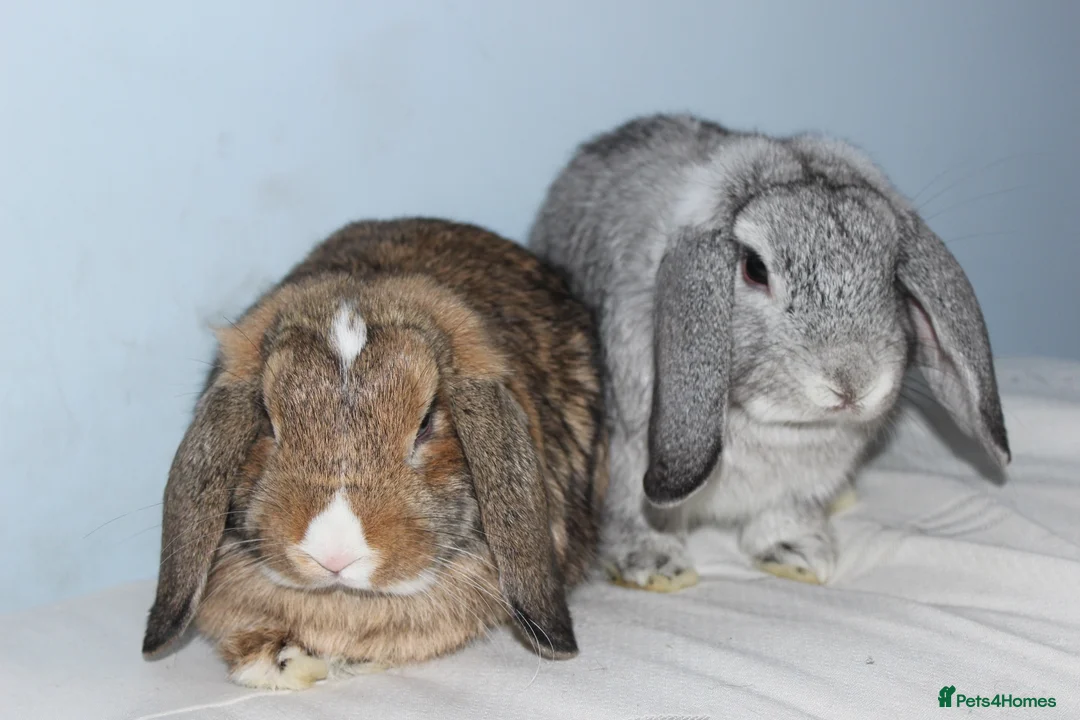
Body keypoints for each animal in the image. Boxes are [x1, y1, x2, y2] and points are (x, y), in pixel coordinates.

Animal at [527, 114, 1009, 591]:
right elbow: (639, 516)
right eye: (755, 269)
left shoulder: (798, 486)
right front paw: (657, 569)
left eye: (892, 274)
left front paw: (798, 558)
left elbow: (784, 517)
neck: (780, 425)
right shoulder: (629, 459)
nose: (853, 382)